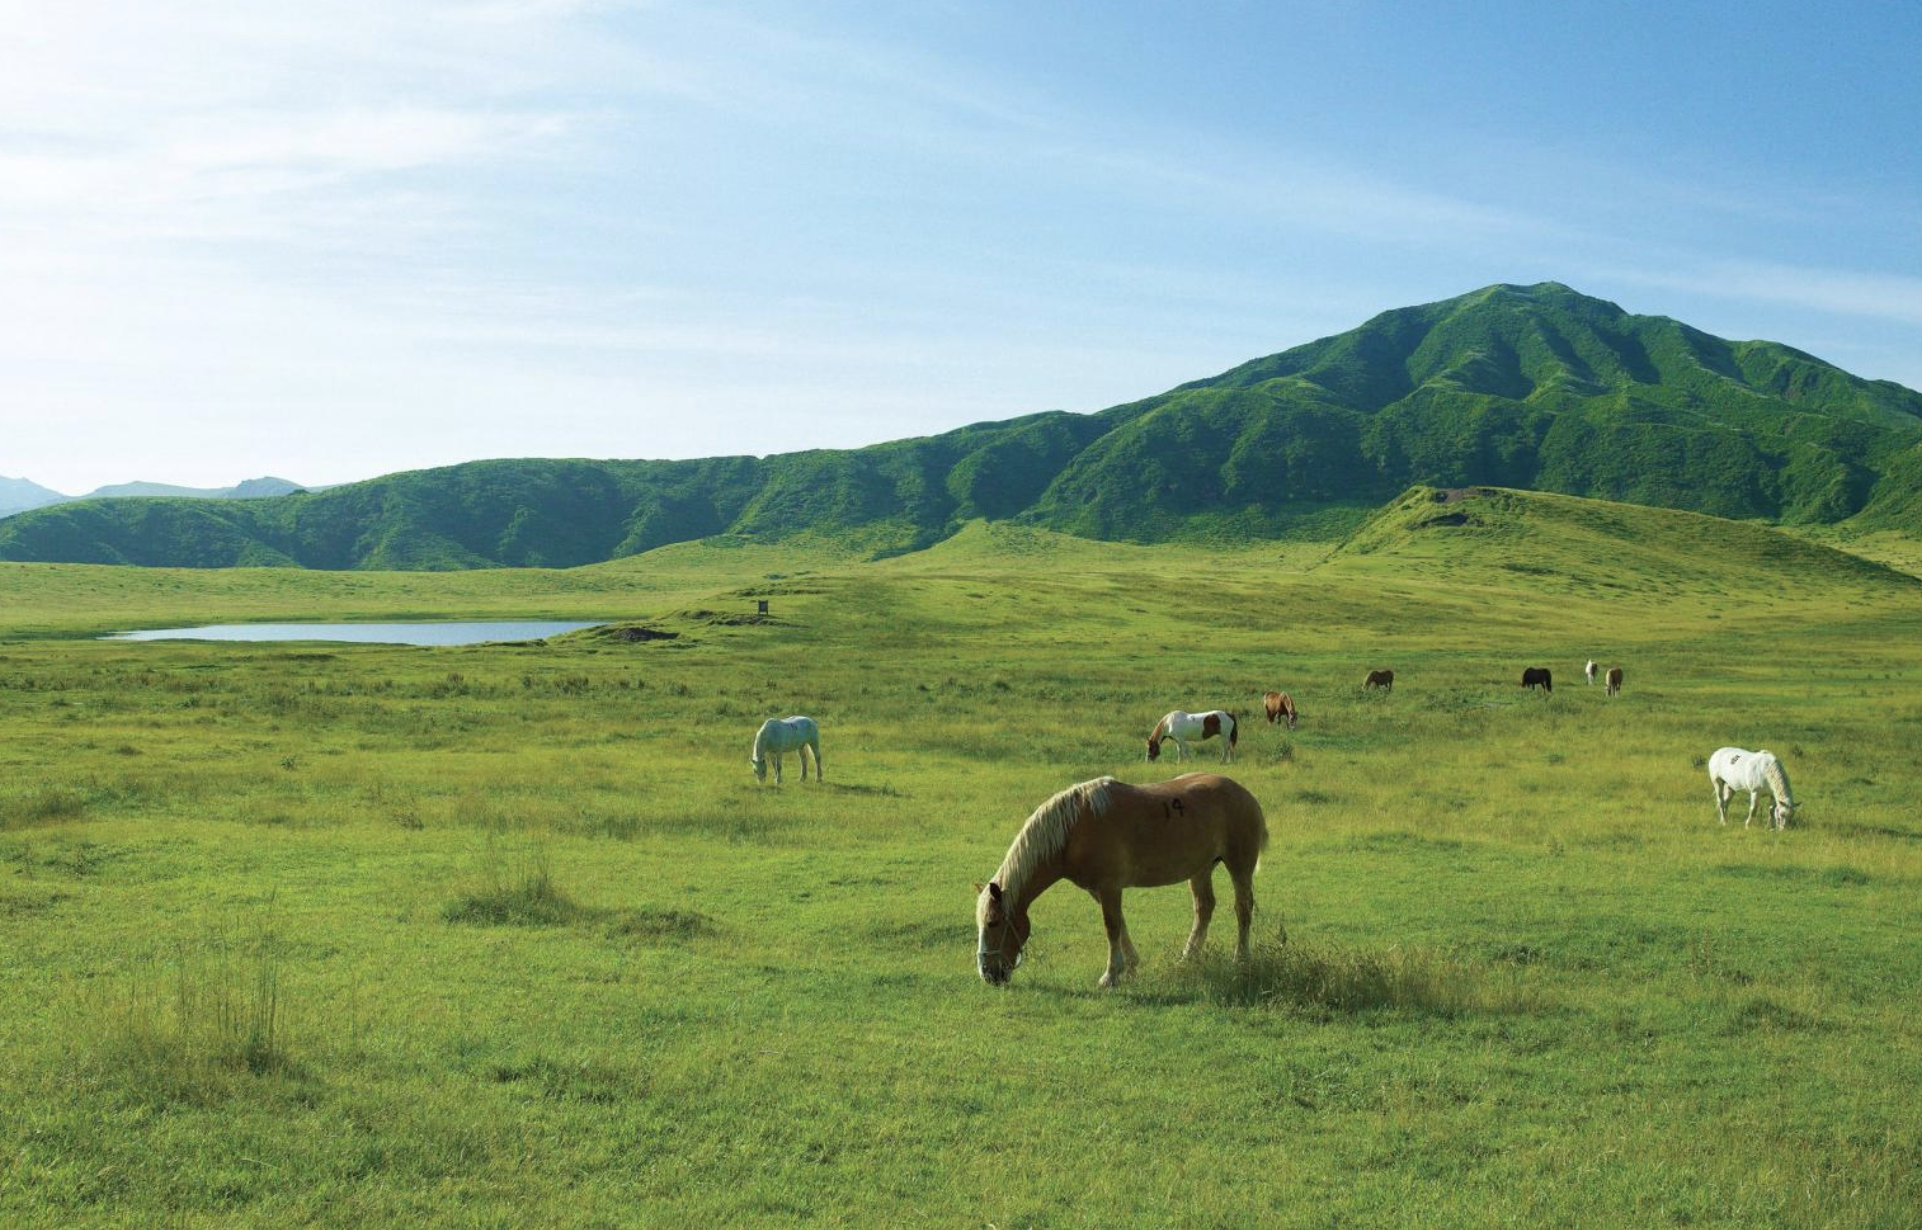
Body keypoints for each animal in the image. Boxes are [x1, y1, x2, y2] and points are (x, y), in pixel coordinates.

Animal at [976, 776, 1276, 991]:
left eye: (993, 923)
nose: (987, 974)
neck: (1073, 829)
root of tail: (1245, 794)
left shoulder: (1109, 887)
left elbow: (1111, 927)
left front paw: (1110, 975)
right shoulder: (1099, 890)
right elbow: (1120, 924)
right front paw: (1130, 966)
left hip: (1239, 866)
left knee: (1243, 909)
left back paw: (1240, 959)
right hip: (1201, 870)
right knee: (1204, 908)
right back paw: (1188, 957)